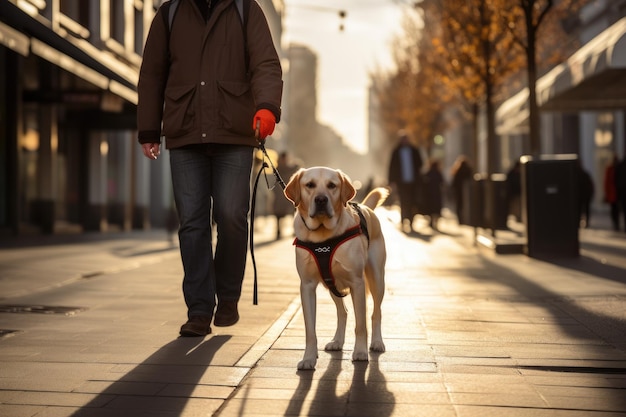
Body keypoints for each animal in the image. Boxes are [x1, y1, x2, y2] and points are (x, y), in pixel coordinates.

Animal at [282, 166, 386, 368]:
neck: (323, 236)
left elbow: (361, 324)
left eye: (332, 185)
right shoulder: (307, 286)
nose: (321, 200)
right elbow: (310, 330)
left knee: (376, 313)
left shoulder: (357, 283)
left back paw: (377, 342)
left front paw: (360, 352)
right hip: (333, 285)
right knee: (342, 312)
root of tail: (366, 207)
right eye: (309, 185)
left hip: (377, 279)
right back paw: (337, 341)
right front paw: (308, 358)